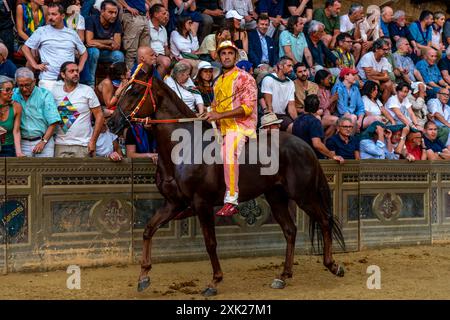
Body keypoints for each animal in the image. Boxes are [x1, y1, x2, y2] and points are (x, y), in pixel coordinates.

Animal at [107, 65, 346, 298]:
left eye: (135, 91)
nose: (111, 122)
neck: (185, 148)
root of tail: (306, 147)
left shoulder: (201, 204)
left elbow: (210, 243)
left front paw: (214, 281)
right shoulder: (174, 204)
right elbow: (148, 229)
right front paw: (143, 276)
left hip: (303, 195)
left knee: (324, 221)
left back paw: (333, 265)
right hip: (276, 197)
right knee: (290, 230)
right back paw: (283, 275)